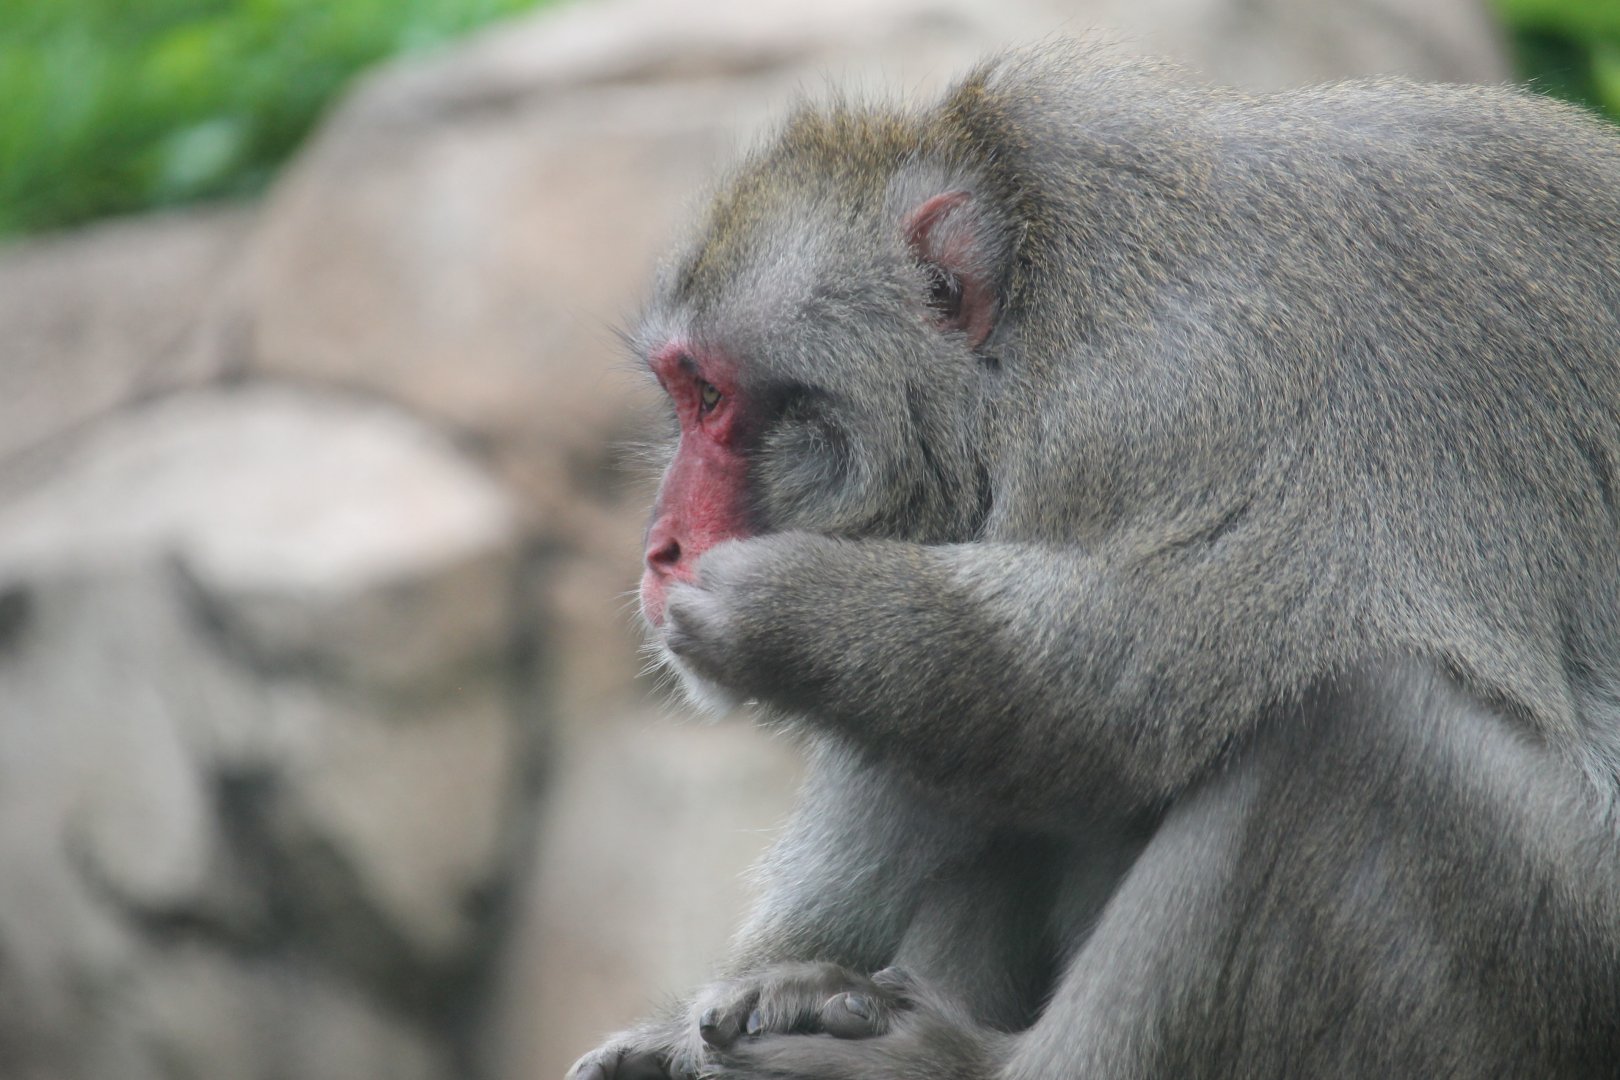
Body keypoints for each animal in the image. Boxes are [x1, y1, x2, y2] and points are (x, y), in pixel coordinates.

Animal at [570, 44, 1620, 1080]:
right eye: (681, 393)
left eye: (711, 397)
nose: (662, 547)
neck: (1041, 313)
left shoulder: (1183, 395)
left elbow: (1138, 672)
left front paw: (788, 608)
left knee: (1367, 734)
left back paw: (960, 1064)